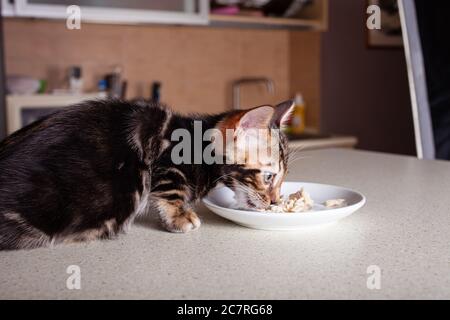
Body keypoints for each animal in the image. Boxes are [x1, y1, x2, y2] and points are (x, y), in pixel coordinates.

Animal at [0, 98, 294, 250]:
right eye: (269, 177)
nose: (275, 201)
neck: (196, 142)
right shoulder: (167, 161)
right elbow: (171, 188)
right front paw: (179, 217)